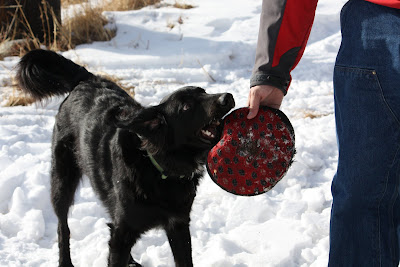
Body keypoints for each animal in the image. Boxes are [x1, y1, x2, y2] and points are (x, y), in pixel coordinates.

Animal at [16, 49, 234, 266]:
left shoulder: (178, 225)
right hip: (62, 181)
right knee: (63, 227)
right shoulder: (122, 233)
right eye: (187, 106)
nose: (228, 97)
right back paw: (65, 261)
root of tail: (86, 80)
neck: (157, 167)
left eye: (204, 91)